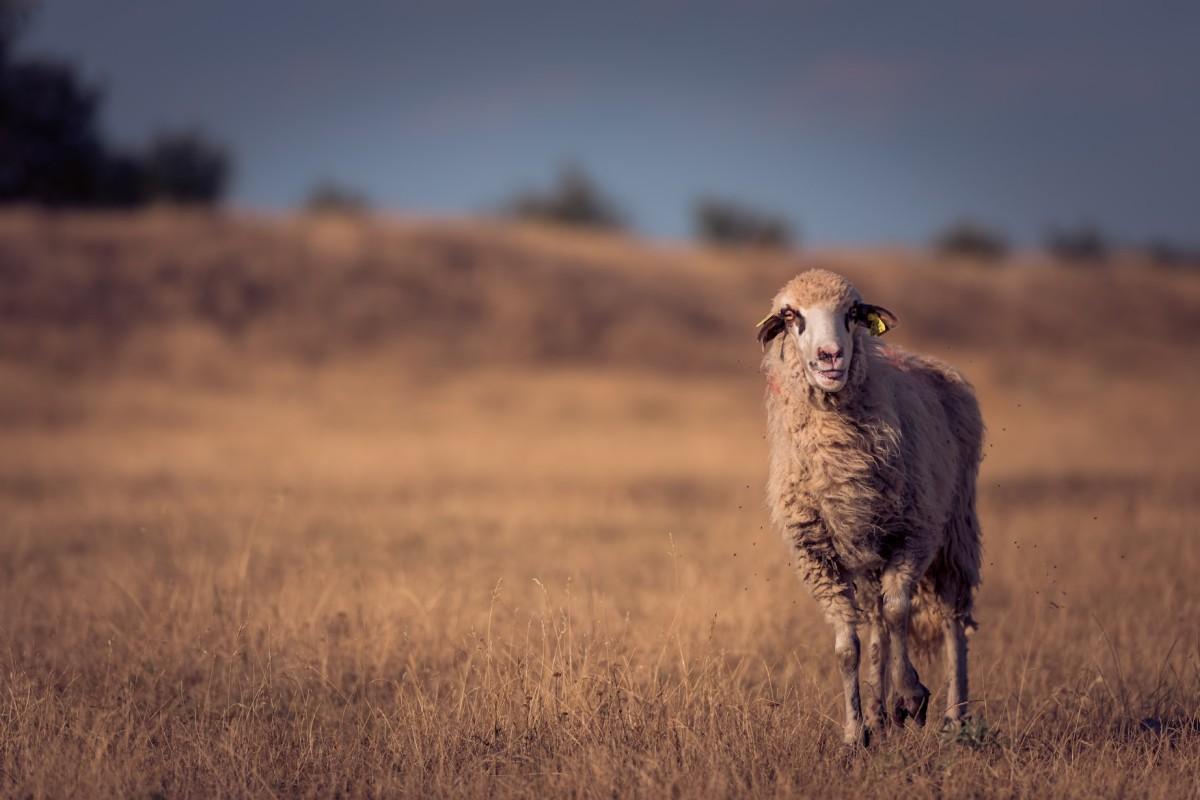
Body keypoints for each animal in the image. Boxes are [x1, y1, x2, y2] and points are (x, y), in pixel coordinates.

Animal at [758, 268, 984, 743]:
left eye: (853, 312)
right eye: (790, 315)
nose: (830, 356)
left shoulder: (913, 534)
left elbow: (899, 613)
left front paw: (911, 697)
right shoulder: (820, 558)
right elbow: (848, 647)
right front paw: (854, 732)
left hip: (955, 527)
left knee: (951, 618)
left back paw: (954, 716)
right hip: (866, 555)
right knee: (877, 624)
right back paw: (879, 716)